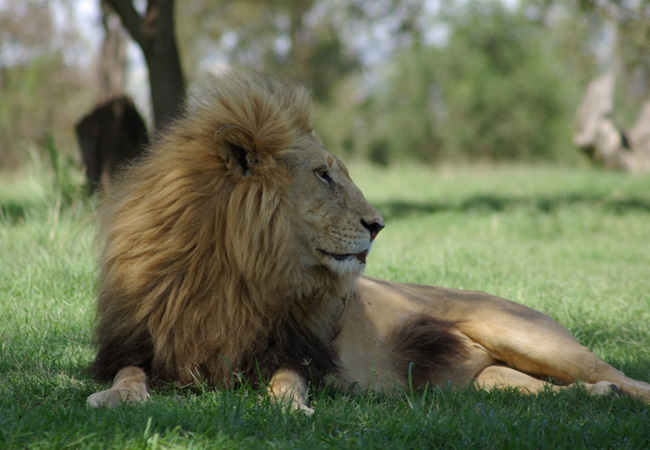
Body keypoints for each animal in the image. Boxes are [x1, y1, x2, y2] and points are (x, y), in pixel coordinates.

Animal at [87, 71, 648, 412]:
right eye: (323, 175)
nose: (378, 225)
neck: (231, 270)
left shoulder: (296, 350)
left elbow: (285, 381)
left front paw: (291, 407)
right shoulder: (136, 343)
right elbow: (128, 374)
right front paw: (118, 398)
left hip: (529, 336)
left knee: (627, 378)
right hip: (495, 381)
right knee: (552, 391)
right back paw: (599, 396)